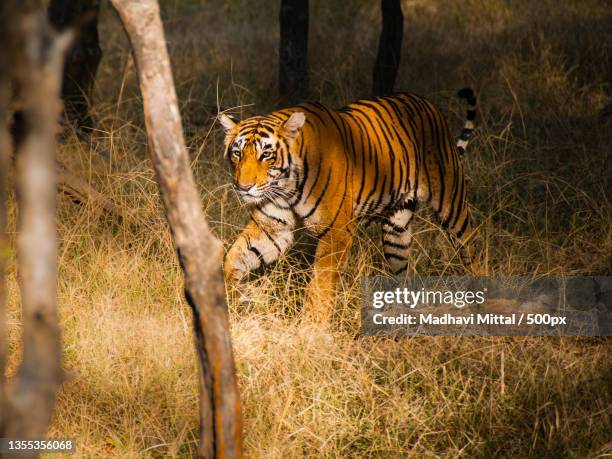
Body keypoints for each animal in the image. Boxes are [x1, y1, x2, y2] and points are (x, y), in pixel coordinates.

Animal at [219, 88, 478, 322]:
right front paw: (235, 295)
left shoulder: (336, 232)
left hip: (451, 202)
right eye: (237, 153)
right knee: (404, 269)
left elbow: (320, 284)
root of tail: (426, 102)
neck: (285, 188)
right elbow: (233, 258)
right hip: (396, 230)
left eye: (266, 154)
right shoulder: (272, 229)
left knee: (469, 250)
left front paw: (312, 329)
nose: (243, 187)